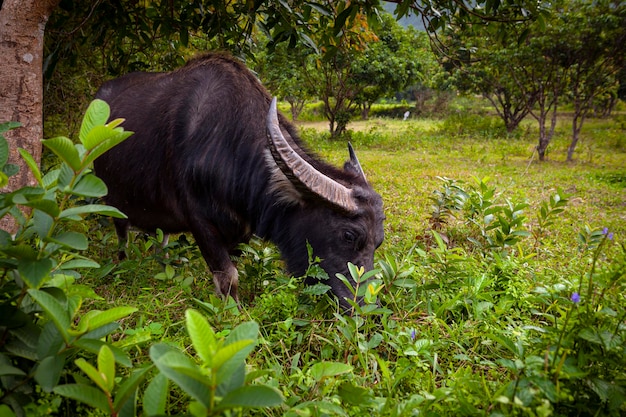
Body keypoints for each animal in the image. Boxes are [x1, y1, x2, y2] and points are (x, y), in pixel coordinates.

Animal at [94, 51, 382, 308]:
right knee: (122, 232)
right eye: (348, 235)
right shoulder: (200, 223)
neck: (227, 145)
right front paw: (233, 313)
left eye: (378, 242)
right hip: (112, 201)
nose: (363, 306)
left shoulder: (240, 231)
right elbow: (228, 277)